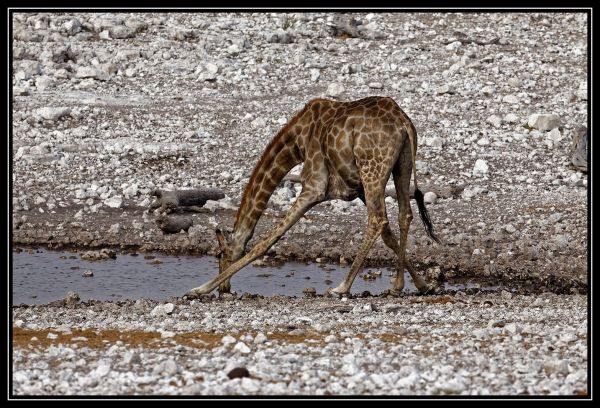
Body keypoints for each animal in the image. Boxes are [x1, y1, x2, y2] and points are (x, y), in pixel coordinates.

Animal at [188, 97, 440, 298]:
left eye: (221, 253)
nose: (225, 289)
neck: (297, 142)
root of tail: (403, 122)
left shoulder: (313, 187)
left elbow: (268, 240)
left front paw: (199, 289)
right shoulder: (357, 189)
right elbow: (389, 237)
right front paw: (423, 284)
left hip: (373, 169)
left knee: (377, 220)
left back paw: (341, 287)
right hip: (401, 165)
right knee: (403, 215)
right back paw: (397, 286)